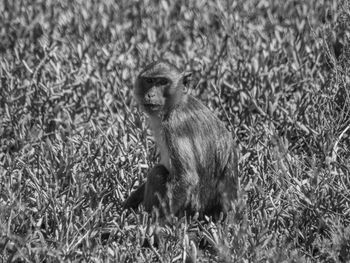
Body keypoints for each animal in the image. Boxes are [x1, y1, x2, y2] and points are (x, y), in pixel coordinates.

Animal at [123, 60, 238, 222]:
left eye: (163, 82)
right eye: (149, 81)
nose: (150, 94)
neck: (176, 104)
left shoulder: (174, 125)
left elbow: (186, 179)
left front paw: (154, 226)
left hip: (190, 209)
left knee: (157, 172)